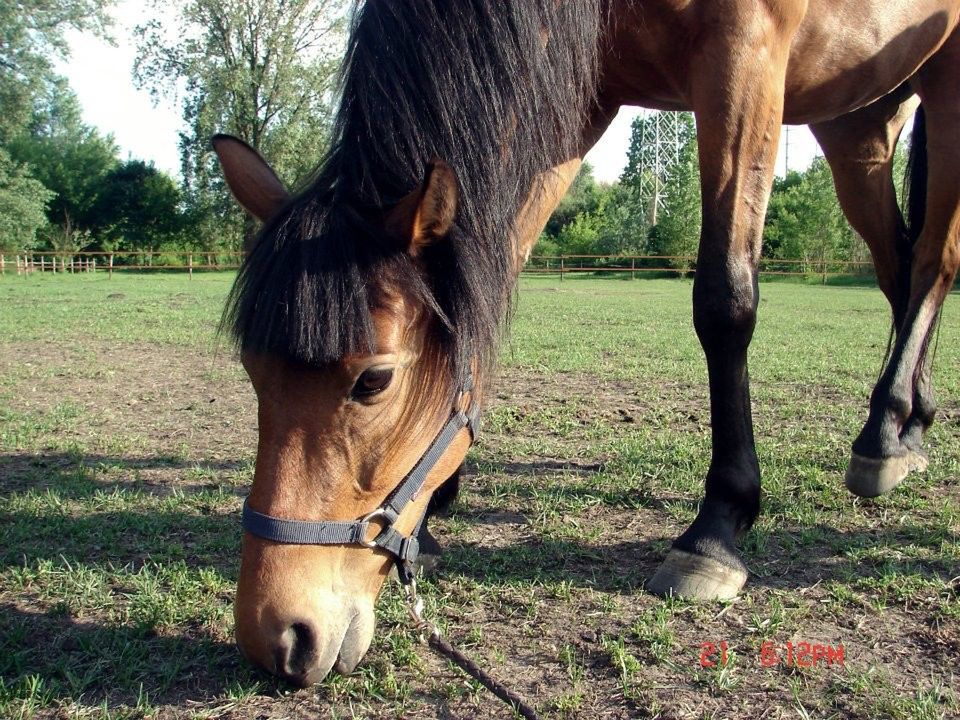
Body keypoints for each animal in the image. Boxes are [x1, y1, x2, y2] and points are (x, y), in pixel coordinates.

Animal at [210, 0, 960, 688]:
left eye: (373, 380)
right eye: (251, 372)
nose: (277, 634)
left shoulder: (747, 48)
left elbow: (725, 300)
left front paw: (717, 527)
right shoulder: (578, 98)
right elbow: (493, 267)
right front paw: (433, 507)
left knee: (933, 260)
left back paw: (885, 435)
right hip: (858, 117)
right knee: (898, 264)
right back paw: (903, 428)